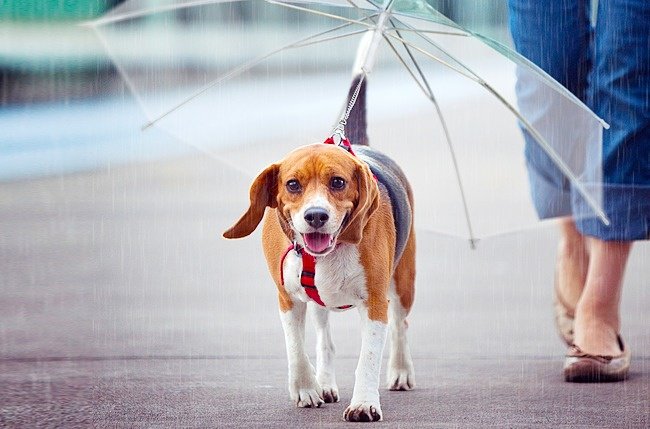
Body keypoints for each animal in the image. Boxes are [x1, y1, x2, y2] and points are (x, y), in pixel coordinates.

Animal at [224, 72, 416, 418]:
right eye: (292, 184)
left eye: (338, 182)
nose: (315, 216)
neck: (329, 252)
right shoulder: (287, 298)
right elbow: (296, 348)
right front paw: (306, 389)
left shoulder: (376, 301)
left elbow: (368, 357)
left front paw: (364, 403)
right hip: (318, 304)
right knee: (325, 340)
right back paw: (325, 382)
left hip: (403, 282)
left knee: (400, 325)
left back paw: (400, 370)